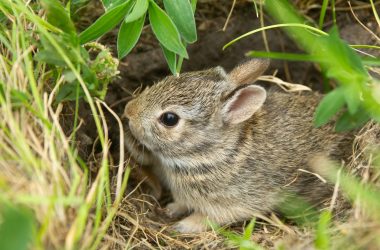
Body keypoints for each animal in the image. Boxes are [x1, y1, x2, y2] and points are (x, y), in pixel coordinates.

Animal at [123, 59, 354, 233]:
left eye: (169, 119)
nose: (128, 111)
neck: (212, 153)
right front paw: (171, 209)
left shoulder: (231, 204)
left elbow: (206, 218)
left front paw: (182, 226)